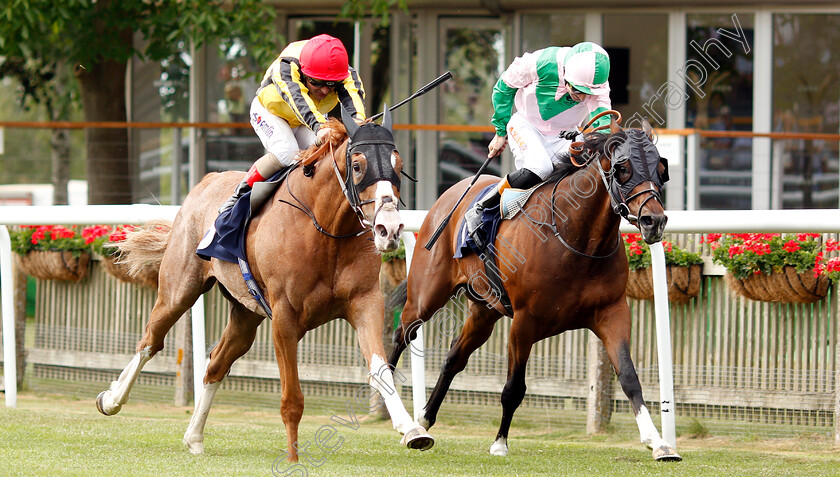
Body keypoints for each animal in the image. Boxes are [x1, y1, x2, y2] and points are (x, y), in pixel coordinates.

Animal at [93, 109, 434, 460]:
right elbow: (292, 398)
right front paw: (293, 457)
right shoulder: (284, 316)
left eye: (398, 165)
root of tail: (205, 181)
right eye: (357, 165)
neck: (326, 229)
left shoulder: (365, 302)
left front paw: (412, 430)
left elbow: (380, 370)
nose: (389, 229)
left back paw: (194, 437)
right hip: (179, 289)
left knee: (216, 363)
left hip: (246, 313)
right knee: (150, 341)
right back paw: (111, 399)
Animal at [390, 114, 680, 458]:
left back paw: (423, 420)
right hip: (427, 295)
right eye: (623, 168)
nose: (654, 221)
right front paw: (500, 442)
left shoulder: (613, 313)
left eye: (660, 168)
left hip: (485, 311)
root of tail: (450, 194)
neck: (574, 236)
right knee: (401, 334)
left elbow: (629, 377)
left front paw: (658, 442)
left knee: (453, 359)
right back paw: (398, 413)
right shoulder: (524, 321)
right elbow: (514, 387)